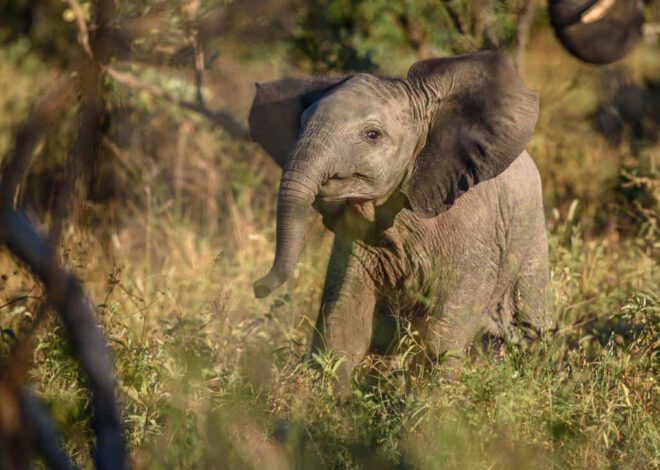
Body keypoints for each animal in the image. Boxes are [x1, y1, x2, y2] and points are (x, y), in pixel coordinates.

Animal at [250, 50, 556, 392]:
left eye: (372, 135)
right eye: (300, 124)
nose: (258, 288)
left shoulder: (474, 229)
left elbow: (446, 330)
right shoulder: (357, 240)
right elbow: (344, 321)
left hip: (531, 240)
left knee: (527, 328)